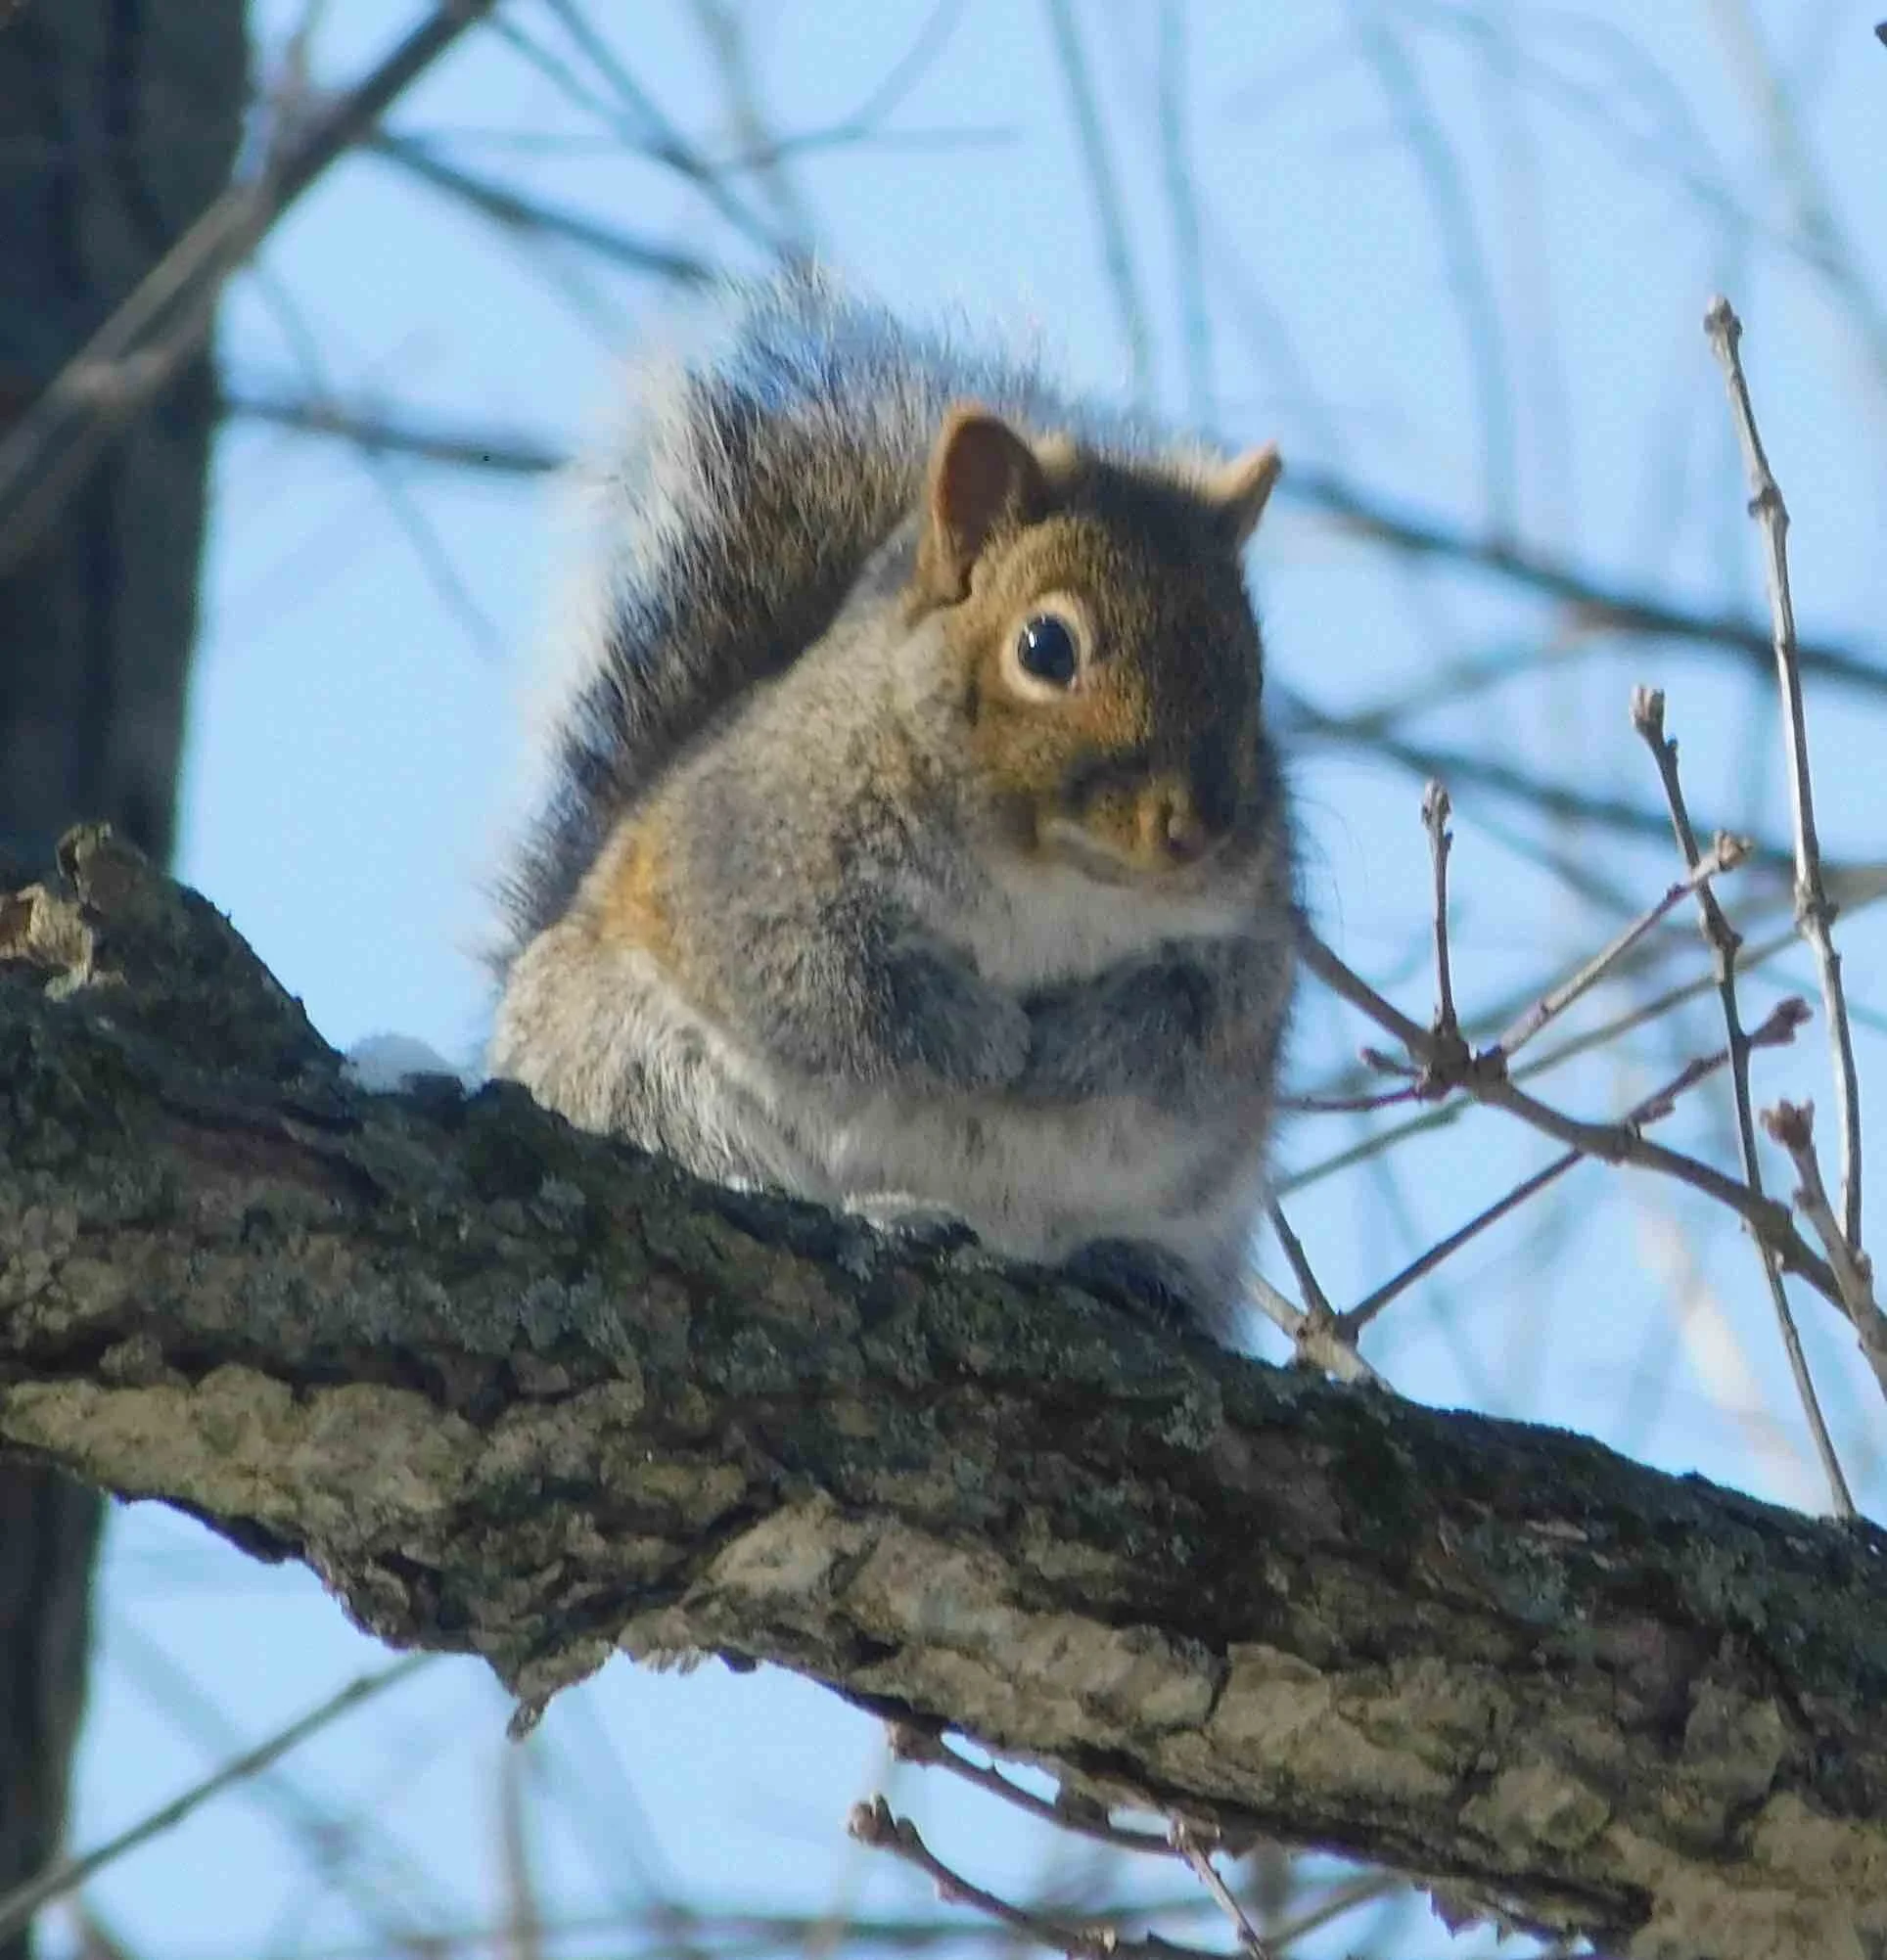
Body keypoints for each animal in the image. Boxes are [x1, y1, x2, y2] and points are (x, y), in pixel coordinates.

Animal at [489, 272, 1298, 1339]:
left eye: (1252, 669)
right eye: (1045, 647)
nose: (1192, 826)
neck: (1048, 873)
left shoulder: (1246, 938)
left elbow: (1194, 1028)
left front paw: (1070, 1050)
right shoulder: (759, 865)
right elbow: (842, 986)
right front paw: (991, 1040)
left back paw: (1133, 1265)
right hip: (625, 1059)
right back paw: (882, 1208)